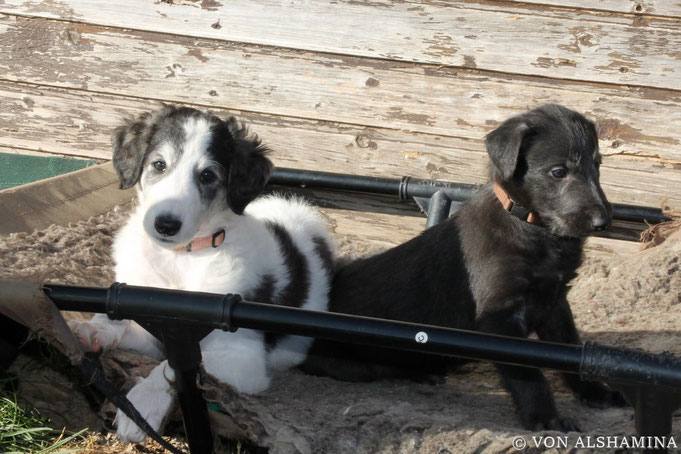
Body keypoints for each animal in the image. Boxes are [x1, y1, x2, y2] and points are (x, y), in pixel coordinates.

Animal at [69, 104, 334, 442]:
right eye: (159, 164)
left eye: (207, 175)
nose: (165, 225)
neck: (180, 257)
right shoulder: (151, 328)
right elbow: (119, 324)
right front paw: (93, 330)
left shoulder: (243, 358)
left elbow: (172, 367)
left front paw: (141, 405)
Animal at [302, 104, 620, 430]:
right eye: (558, 171)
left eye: (597, 165)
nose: (603, 222)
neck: (534, 230)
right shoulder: (499, 318)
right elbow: (529, 374)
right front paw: (545, 419)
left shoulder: (554, 302)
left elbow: (571, 351)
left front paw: (594, 391)